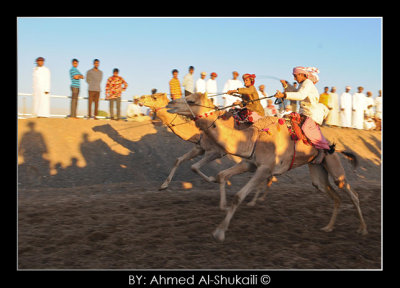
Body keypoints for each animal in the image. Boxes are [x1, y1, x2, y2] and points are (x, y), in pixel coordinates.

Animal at [166, 92, 368, 241]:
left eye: (191, 101)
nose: (170, 103)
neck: (253, 137)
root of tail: (332, 145)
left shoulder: (264, 167)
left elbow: (238, 196)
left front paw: (219, 232)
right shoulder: (250, 163)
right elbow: (222, 175)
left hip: (333, 164)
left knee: (352, 193)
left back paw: (362, 229)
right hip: (317, 169)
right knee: (333, 195)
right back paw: (328, 227)